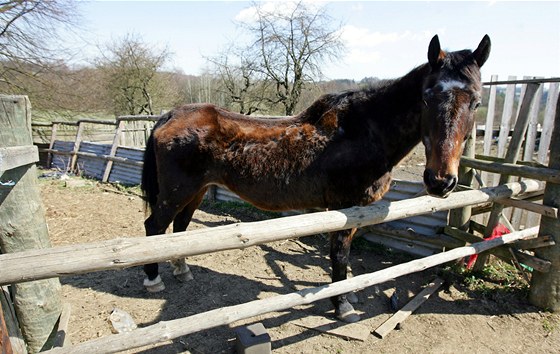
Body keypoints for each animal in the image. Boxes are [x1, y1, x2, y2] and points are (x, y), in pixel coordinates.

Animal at [141, 34, 490, 322]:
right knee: (154, 227)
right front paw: (343, 306)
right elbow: (339, 256)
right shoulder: (344, 208)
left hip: (196, 190)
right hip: (176, 191)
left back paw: (182, 271)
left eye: (476, 102)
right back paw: (153, 279)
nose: (440, 181)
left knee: (179, 228)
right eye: (427, 97)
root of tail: (170, 116)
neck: (364, 131)